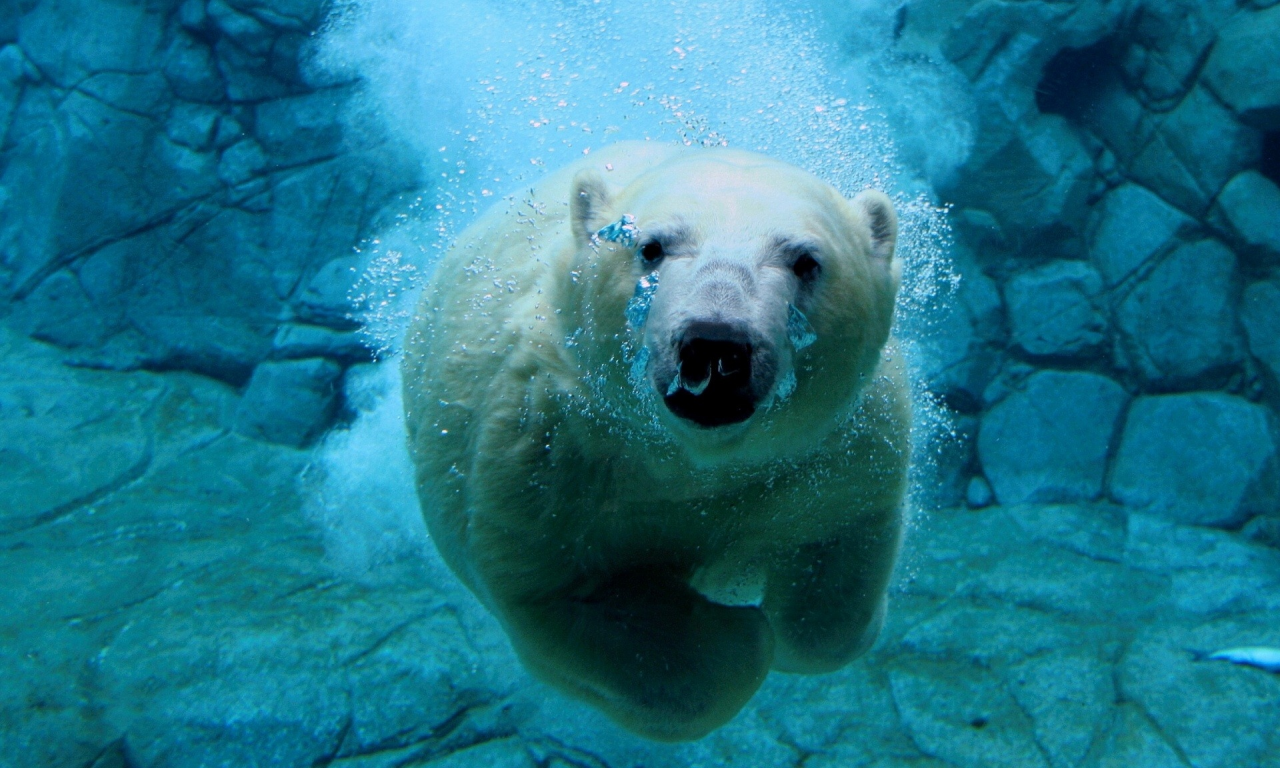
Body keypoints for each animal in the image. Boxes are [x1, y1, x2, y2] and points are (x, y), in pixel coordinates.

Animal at [401, 140, 911, 742]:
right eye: (650, 247)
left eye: (806, 260)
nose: (716, 344)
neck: (693, 461)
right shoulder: (546, 454)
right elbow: (564, 597)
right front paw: (738, 635)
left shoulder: (835, 448)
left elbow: (837, 561)